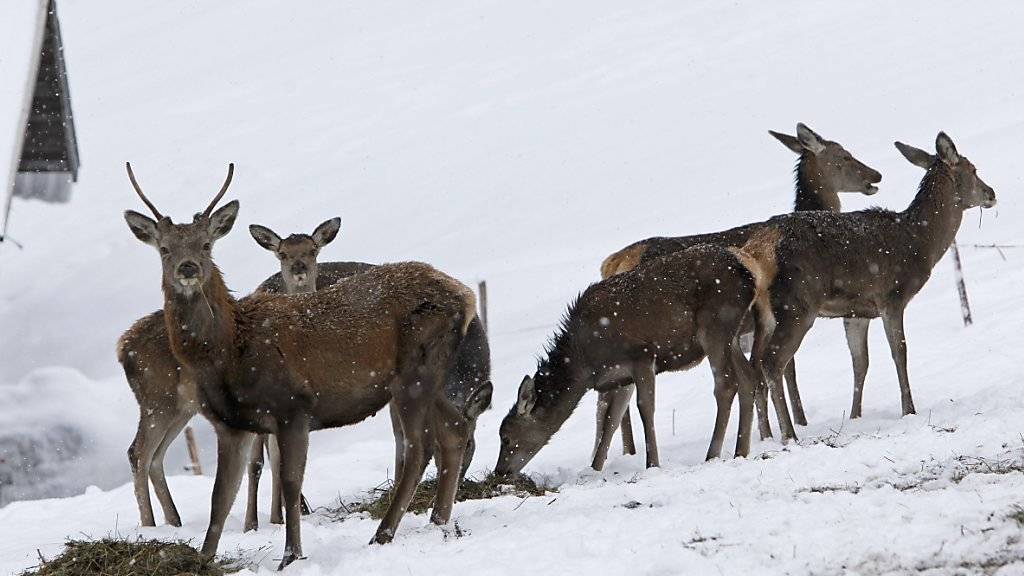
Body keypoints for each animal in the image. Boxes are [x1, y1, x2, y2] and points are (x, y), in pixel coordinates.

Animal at [121, 163, 481, 565]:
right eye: (164, 249)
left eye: (206, 244)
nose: (187, 268)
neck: (230, 348)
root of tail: (466, 295)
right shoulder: (232, 424)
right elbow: (220, 498)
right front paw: (204, 560)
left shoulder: (292, 408)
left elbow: (291, 483)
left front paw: (291, 555)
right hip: (431, 377)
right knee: (455, 429)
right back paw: (439, 521)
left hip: (414, 374)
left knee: (418, 449)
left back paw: (383, 534)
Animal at [491, 237, 770, 475]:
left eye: (507, 437)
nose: (500, 471)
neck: (586, 363)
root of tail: (749, 269)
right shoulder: (620, 377)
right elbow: (612, 420)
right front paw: (594, 468)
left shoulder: (642, 356)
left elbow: (644, 408)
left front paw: (652, 464)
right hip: (732, 335)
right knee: (748, 378)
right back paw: (740, 451)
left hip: (715, 326)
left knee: (726, 384)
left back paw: (712, 454)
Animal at [749, 132, 995, 438]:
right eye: (973, 169)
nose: (991, 193)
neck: (919, 242)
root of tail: (758, 250)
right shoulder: (892, 296)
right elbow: (899, 352)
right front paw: (909, 410)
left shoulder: (856, 312)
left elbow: (860, 362)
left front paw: (855, 416)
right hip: (797, 305)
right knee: (773, 362)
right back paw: (789, 435)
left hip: (765, 315)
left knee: (755, 366)